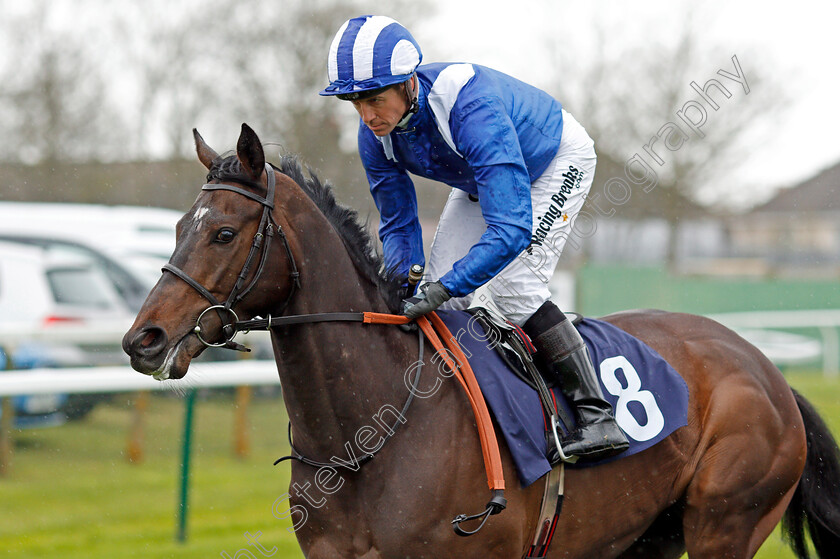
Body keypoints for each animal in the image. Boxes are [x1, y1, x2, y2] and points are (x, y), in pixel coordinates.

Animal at [123, 123, 840, 559]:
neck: (370, 436)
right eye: (181, 226)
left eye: (223, 233)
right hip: (648, 532)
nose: (143, 338)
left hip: (726, 520)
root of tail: (768, 370)